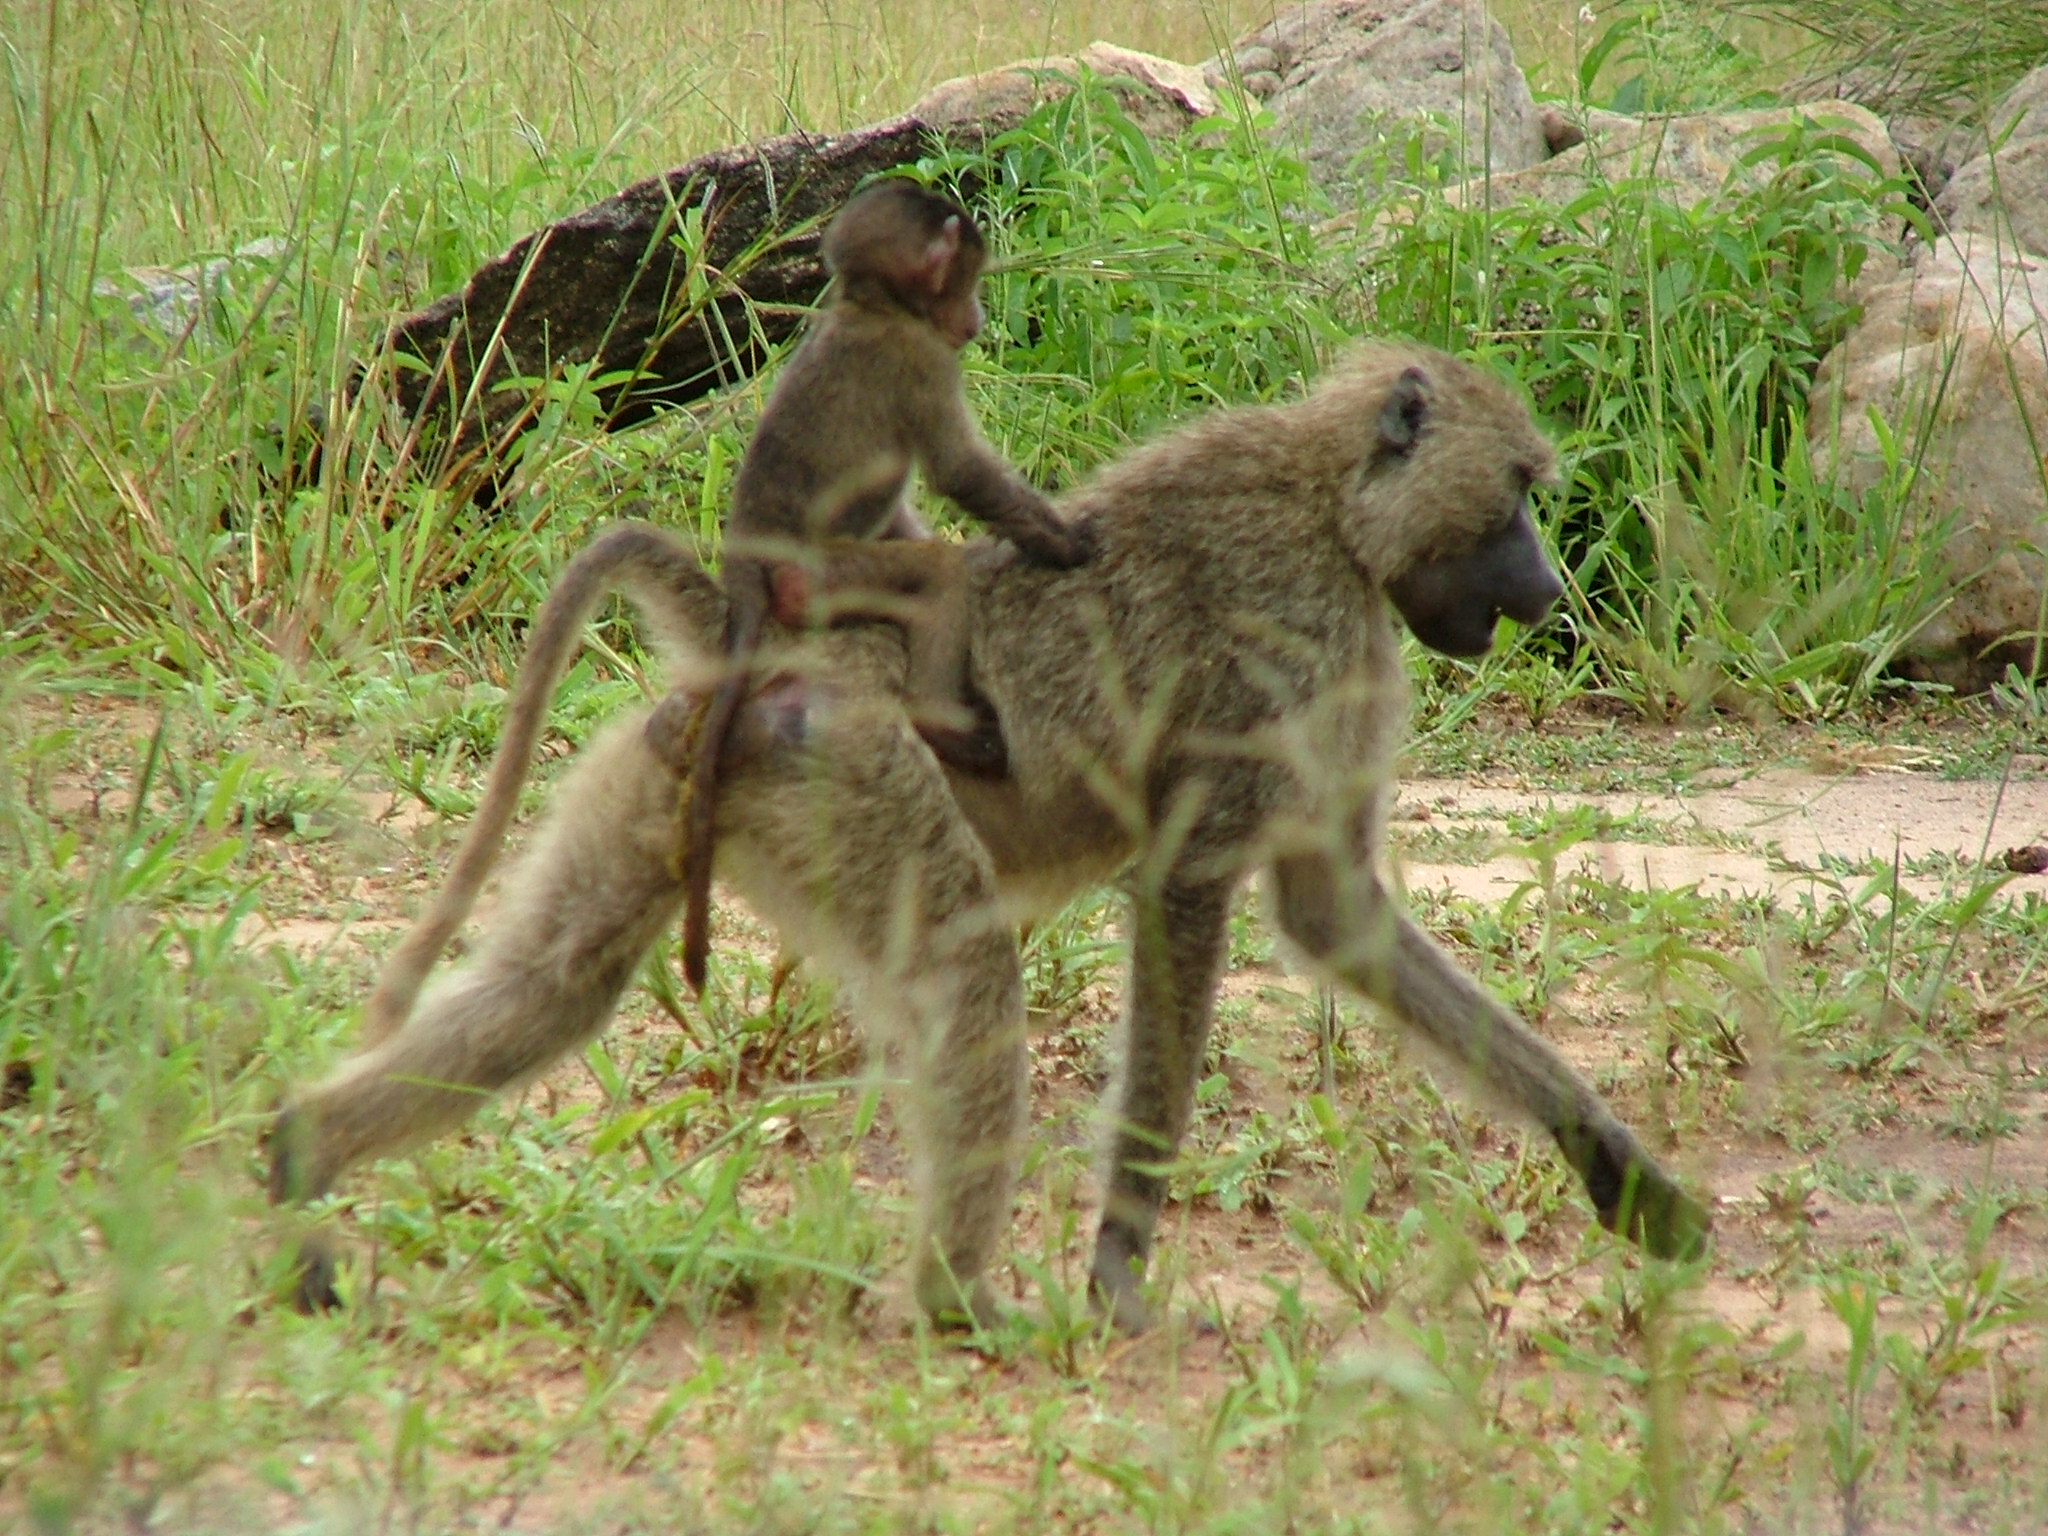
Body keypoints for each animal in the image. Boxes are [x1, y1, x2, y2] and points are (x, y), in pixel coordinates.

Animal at [269, 341, 1710, 1329]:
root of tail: (761, 654)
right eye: (1514, 496)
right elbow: (1190, 899)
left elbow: (1334, 916)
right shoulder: (1299, 649)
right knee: (969, 973)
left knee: (555, 984)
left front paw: (1607, 1158)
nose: (1549, 589)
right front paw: (1119, 1269)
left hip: (661, 784)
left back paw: (298, 1167)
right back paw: (958, 1307)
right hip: (853, 777)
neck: (1334, 512)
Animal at [657, 177, 1092, 999]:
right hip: (828, 575)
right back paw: (944, 723)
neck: (873, 307)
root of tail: (748, 561)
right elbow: (959, 473)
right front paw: (1062, 541)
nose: (976, 321)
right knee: (935, 576)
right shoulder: (921, 365)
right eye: (970, 282)